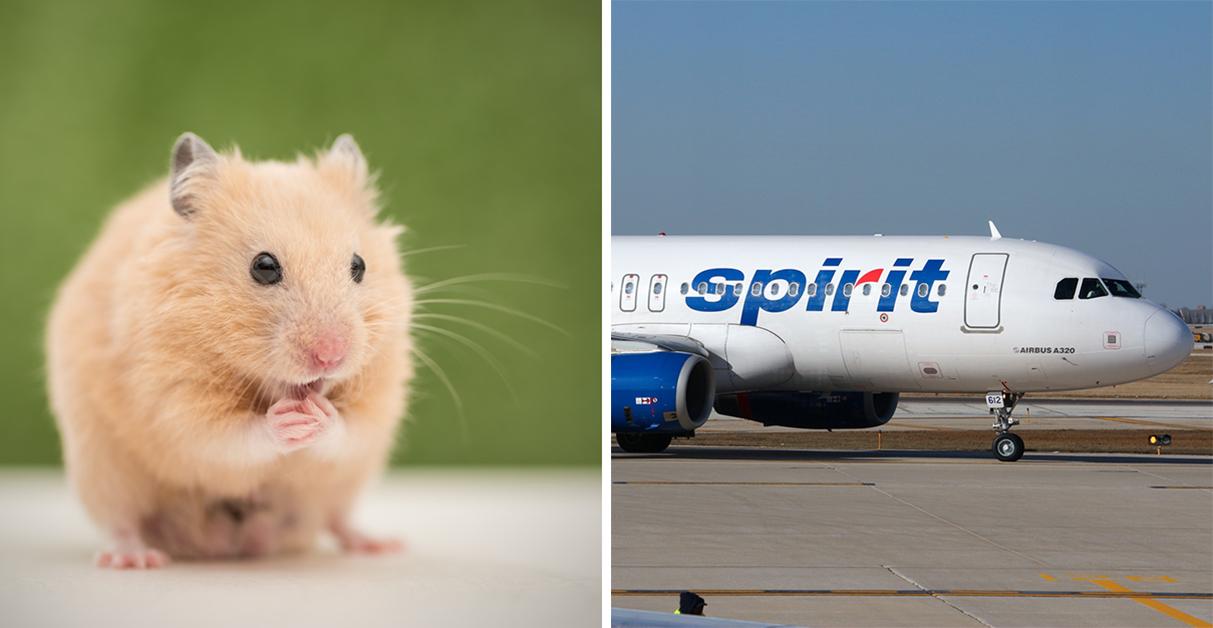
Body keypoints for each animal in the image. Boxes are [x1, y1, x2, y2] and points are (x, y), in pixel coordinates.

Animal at [45, 132, 413, 568]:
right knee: (121, 521)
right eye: (264, 267)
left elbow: (350, 430)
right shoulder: (173, 401)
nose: (331, 356)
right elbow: (227, 438)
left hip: (345, 484)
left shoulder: (380, 399)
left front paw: (319, 416)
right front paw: (288, 420)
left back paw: (381, 544)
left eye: (359, 265)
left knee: (336, 518)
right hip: (102, 469)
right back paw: (134, 558)